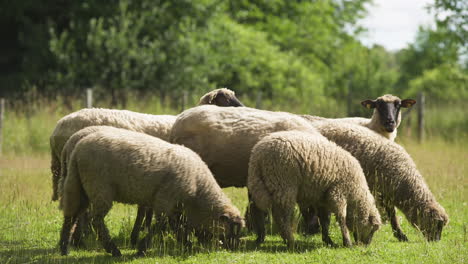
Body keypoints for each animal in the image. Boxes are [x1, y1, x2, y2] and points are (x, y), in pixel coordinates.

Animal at [59, 128, 245, 256]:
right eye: (233, 229)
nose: (235, 248)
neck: (198, 190)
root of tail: (77, 149)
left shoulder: (174, 204)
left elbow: (175, 225)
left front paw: (186, 244)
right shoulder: (166, 197)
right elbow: (161, 224)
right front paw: (142, 249)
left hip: (78, 185)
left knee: (71, 216)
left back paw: (64, 248)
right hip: (100, 187)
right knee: (96, 220)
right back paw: (114, 250)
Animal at [247, 131, 382, 249]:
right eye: (372, 229)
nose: (366, 244)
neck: (355, 193)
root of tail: (258, 156)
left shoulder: (323, 198)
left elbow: (325, 221)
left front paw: (328, 240)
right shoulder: (338, 194)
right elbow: (341, 219)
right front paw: (347, 242)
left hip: (257, 183)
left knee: (255, 208)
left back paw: (260, 237)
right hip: (283, 185)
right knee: (281, 217)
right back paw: (290, 241)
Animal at [310, 120, 450, 242]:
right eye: (436, 224)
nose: (436, 241)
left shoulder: (387, 193)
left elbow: (392, 214)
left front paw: (399, 234)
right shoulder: (377, 190)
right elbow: (390, 214)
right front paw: (400, 235)